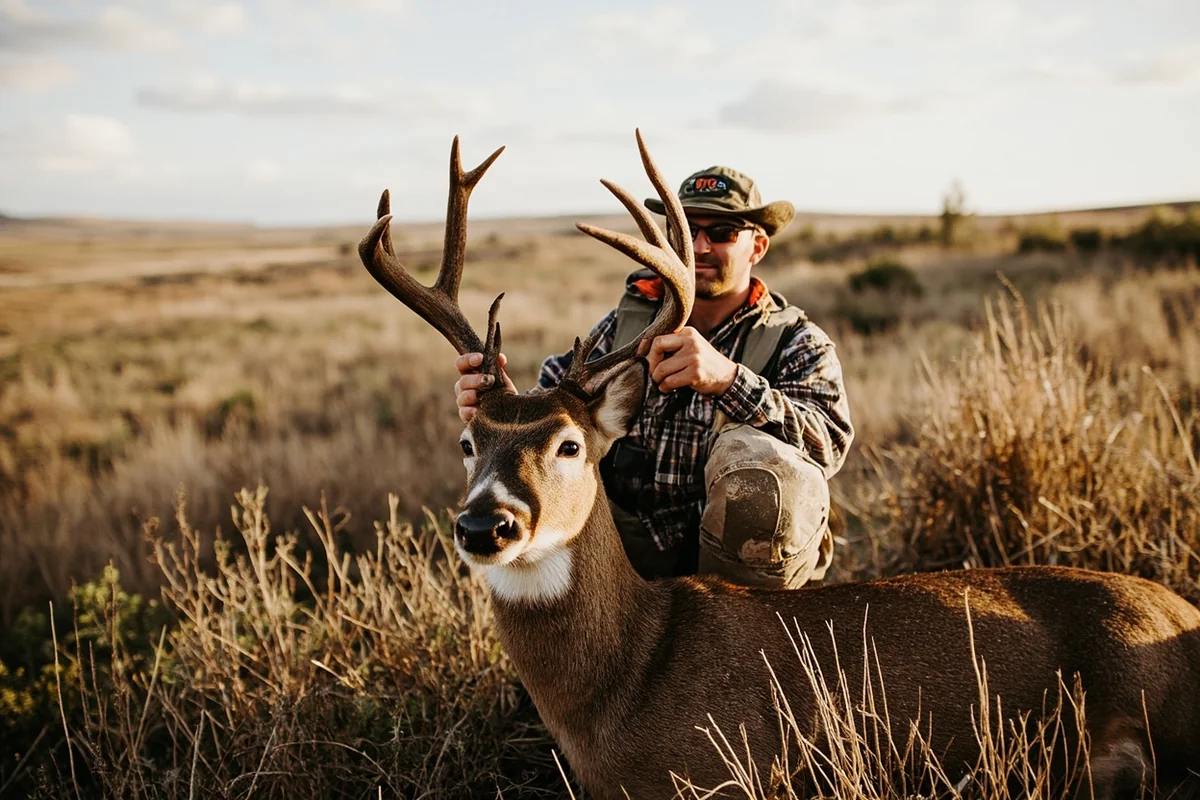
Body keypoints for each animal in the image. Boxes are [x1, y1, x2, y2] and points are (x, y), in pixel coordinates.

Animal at [358, 132, 1200, 799]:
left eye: (569, 444)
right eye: (469, 442)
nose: (485, 524)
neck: (627, 679)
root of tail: (1185, 613)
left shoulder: (730, 772)